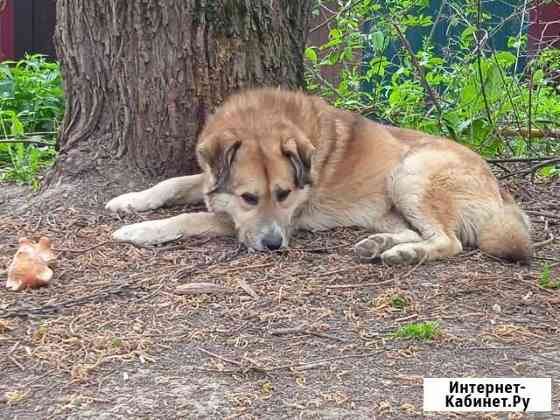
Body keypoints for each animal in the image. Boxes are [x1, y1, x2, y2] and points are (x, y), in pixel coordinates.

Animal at [106, 88, 532, 266]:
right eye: (249, 197)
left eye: (284, 194)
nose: (275, 245)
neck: (260, 119)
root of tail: (502, 192)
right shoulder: (212, 180)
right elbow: (172, 184)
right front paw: (129, 201)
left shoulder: (265, 221)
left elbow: (189, 217)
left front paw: (140, 231)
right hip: (393, 202)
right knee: (419, 232)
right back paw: (378, 244)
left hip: (410, 174)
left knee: (449, 241)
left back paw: (404, 254)